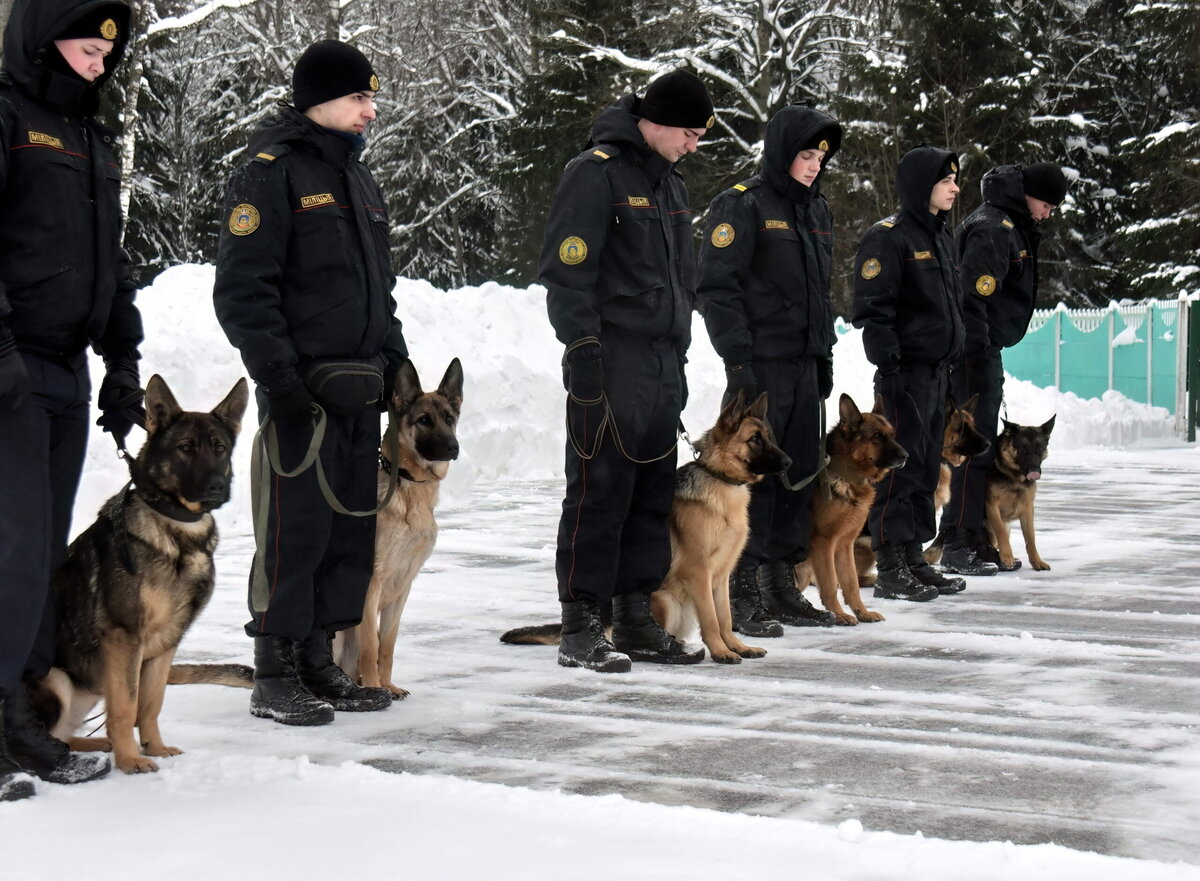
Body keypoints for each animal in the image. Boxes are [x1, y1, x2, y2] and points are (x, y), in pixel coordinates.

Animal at [31, 376, 246, 777]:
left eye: (220, 448)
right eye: (185, 448)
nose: (217, 488)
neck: (177, 529)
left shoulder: (165, 645)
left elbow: (150, 703)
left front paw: (154, 747)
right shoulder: (125, 638)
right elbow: (125, 706)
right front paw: (130, 759)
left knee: (65, 734)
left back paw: (96, 745)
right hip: (57, 679)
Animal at [333, 357, 463, 696]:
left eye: (449, 418)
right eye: (423, 420)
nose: (453, 447)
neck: (409, 489)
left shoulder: (403, 586)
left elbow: (387, 645)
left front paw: (388, 685)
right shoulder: (371, 585)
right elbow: (370, 647)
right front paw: (376, 688)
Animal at [501, 391, 792, 662]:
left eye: (768, 437)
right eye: (754, 439)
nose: (789, 463)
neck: (719, 479)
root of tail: (604, 616)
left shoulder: (720, 577)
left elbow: (725, 619)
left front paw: (738, 647)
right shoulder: (699, 573)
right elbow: (711, 619)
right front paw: (721, 651)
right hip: (666, 600)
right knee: (620, 635)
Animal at [796, 393, 907, 628]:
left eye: (892, 435)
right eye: (876, 436)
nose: (905, 456)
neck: (845, 473)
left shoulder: (843, 545)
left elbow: (851, 583)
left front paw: (862, 612)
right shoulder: (824, 544)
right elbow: (830, 584)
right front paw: (839, 615)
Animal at [988, 420, 1056, 576]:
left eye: (1039, 448)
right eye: (1023, 449)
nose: (1034, 471)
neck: (1014, 476)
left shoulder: (1027, 508)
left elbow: (1030, 538)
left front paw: (1037, 561)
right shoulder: (991, 505)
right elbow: (1000, 530)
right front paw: (1007, 556)